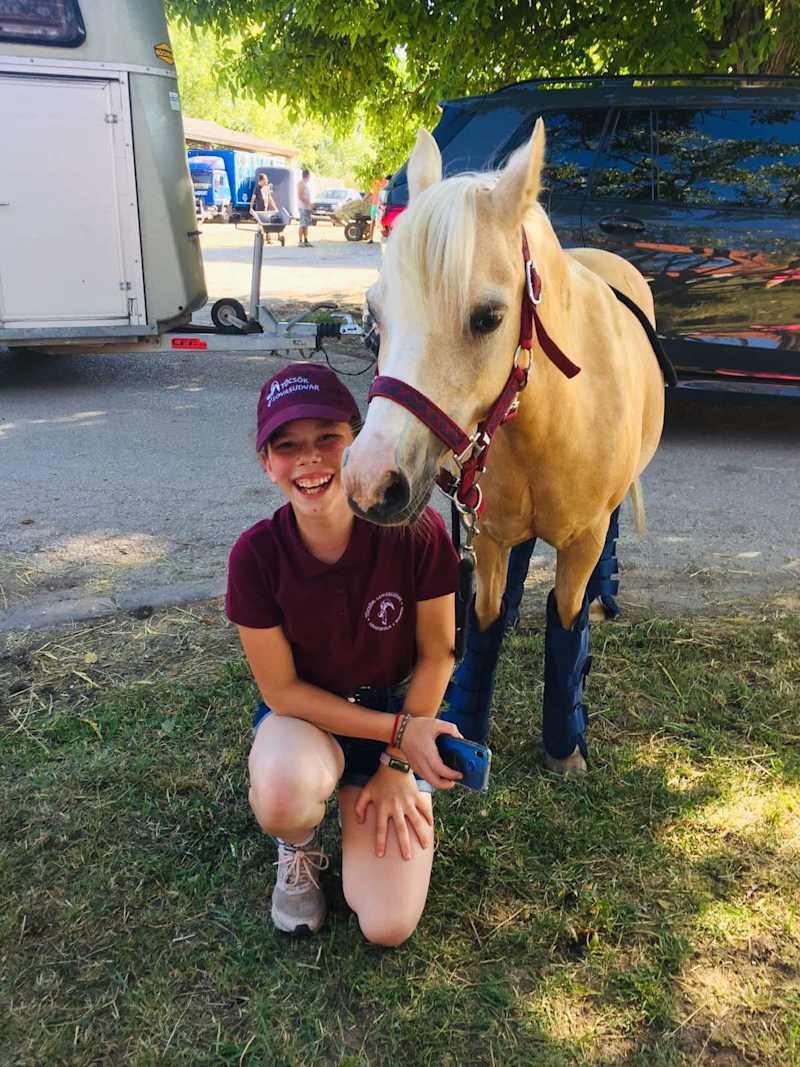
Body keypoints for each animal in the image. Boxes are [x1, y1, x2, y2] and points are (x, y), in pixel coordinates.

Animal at [342, 120, 668, 775]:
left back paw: (606, 595)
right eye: (374, 313)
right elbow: (485, 623)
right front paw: (465, 725)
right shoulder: (486, 534)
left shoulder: (582, 538)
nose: (369, 483)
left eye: (488, 317)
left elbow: (566, 622)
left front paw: (565, 746)